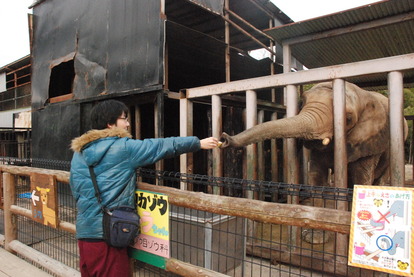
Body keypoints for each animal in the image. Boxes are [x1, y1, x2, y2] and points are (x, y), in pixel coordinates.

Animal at [220, 81, 408, 187]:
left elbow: (360, 179)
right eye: (302, 103)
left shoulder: (370, 142)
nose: (224, 138)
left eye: (348, 118)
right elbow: (317, 177)